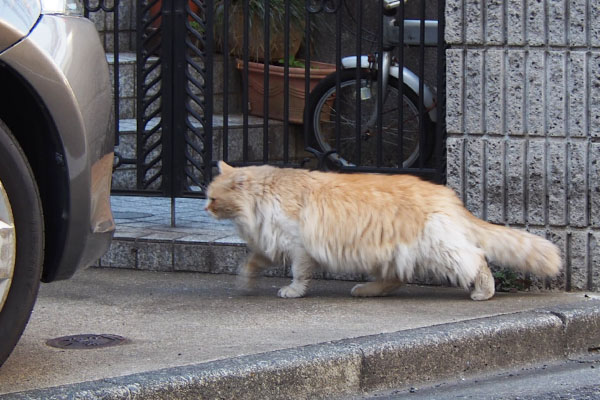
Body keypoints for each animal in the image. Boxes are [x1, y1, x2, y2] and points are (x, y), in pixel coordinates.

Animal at [207, 160, 564, 300]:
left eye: (211, 197)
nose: (205, 209)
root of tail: (448, 196)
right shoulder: (270, 243)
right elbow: (250, 263)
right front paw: (244, 283)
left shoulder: (298, 246)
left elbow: (299, 274)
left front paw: (293, 291)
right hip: (389, 253)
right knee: (394, 279)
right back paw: (365, 290)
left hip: (439, 248)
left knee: (476, 259)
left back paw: (484, 292)